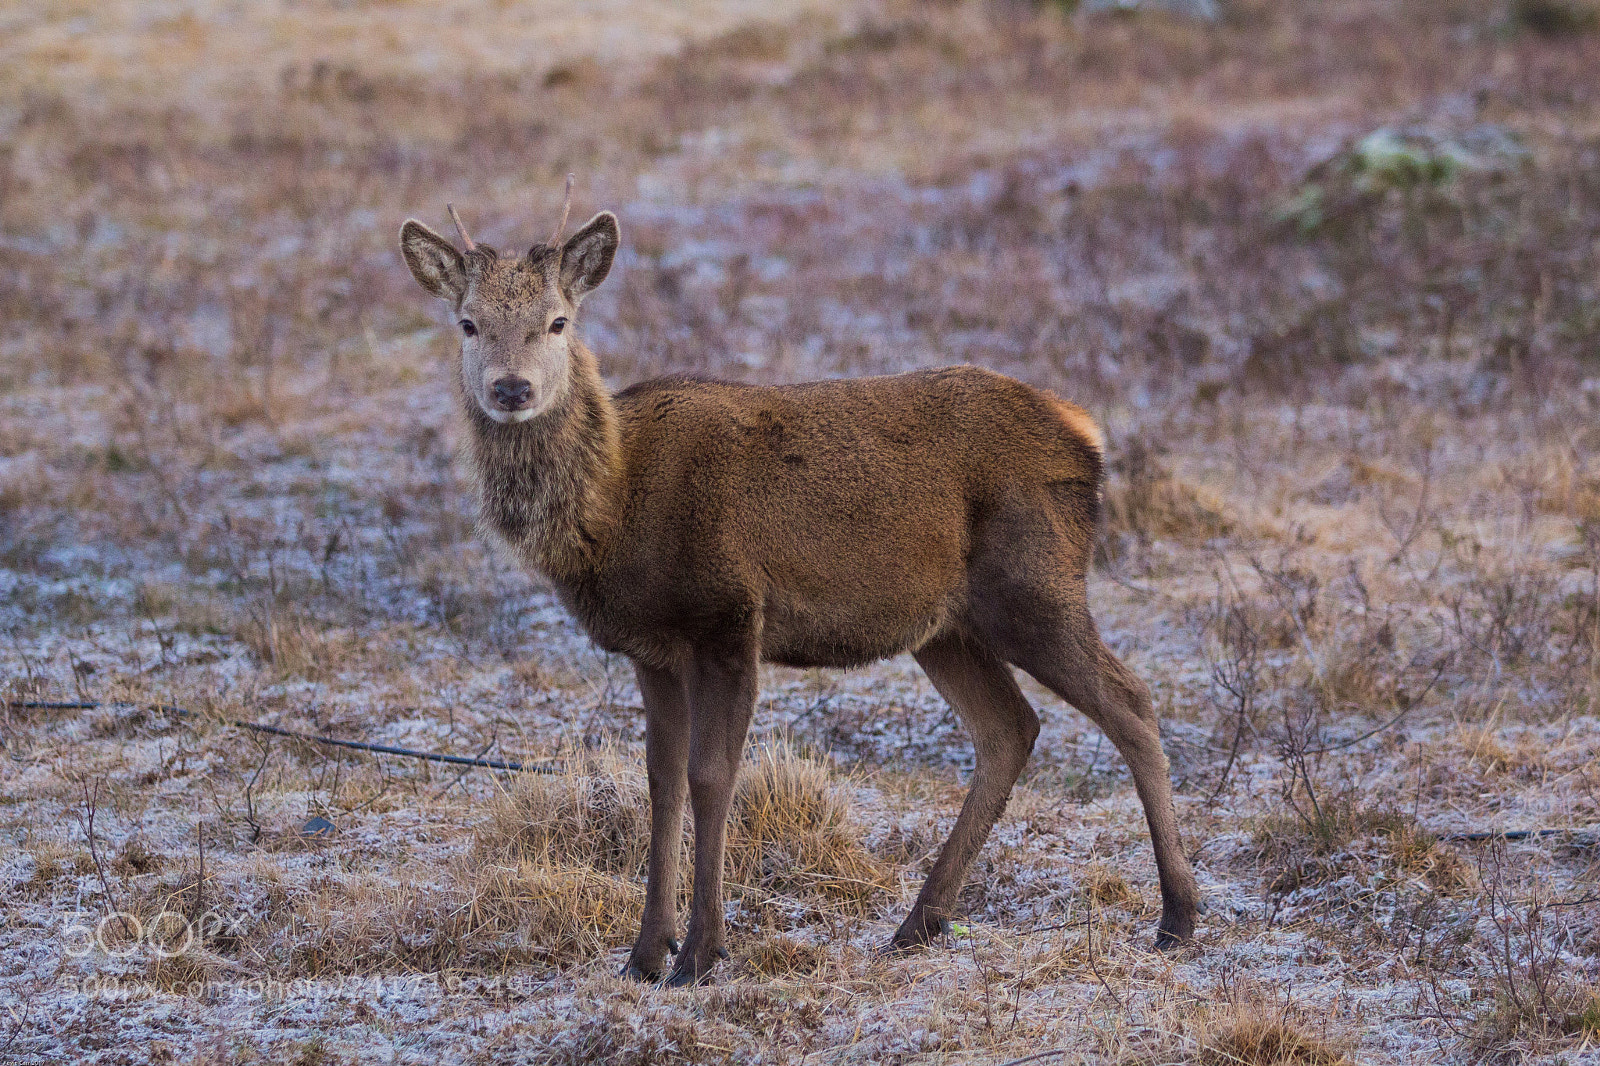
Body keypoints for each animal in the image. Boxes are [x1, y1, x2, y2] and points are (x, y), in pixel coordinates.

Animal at [398, 192, 1201, 986]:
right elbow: (660, 782)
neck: (615, 505)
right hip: (945, 625)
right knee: (1010, 728)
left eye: (558, 320)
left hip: (1033, 584)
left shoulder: (728, 614)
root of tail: (1086, 432)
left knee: (1130, 702)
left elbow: (711, 777)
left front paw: (700, 953)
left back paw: (1179, 917)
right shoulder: (650, 648)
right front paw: (644, 953)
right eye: (469, 323)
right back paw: (917, 925)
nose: (512, 388)